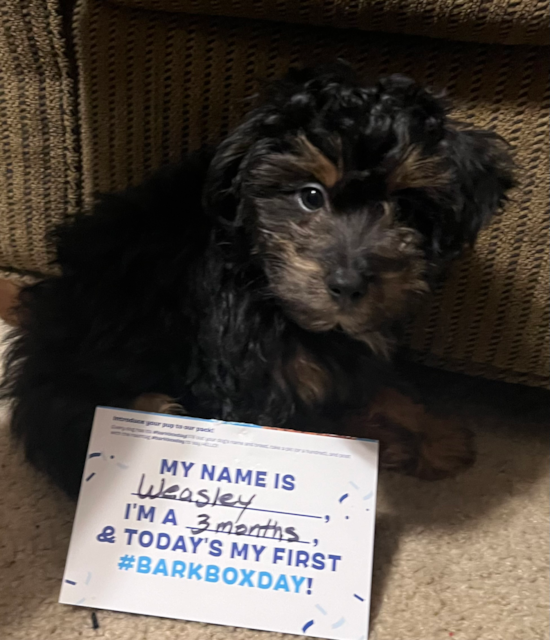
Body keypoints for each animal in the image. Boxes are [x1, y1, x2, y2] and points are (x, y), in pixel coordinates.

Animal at [1, 63, 516, 496]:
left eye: (405, 208)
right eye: (311, 196)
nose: (348, 283)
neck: (262, 281)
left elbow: (372, 382)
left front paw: (433, 433)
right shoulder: (248, 379)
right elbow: (321, 422)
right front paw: (390, 441)